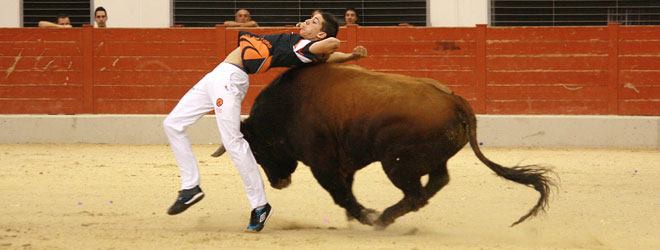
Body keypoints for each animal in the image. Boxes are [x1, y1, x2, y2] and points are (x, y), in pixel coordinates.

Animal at [214, 63, 556, 229]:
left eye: (259, 151)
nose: (278, 182)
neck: (287, 108)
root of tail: (454, 99)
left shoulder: (323, 164)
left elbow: (341, 194)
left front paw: (365, 215)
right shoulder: (344, 162)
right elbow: (346, 191)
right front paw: (357, 217)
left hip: (397, 163)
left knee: (416, 194)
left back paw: (381, 219)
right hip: (427, 160)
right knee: (436, 182)